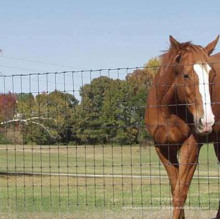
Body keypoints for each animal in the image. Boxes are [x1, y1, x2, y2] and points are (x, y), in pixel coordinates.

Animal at [145, 36, 219, 218]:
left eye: (212, 75)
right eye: (186, 75)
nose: (206, 121)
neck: (168, 112)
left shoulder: (191, 146)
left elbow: (181, 194)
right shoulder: (164, 148)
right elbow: (175, 189)